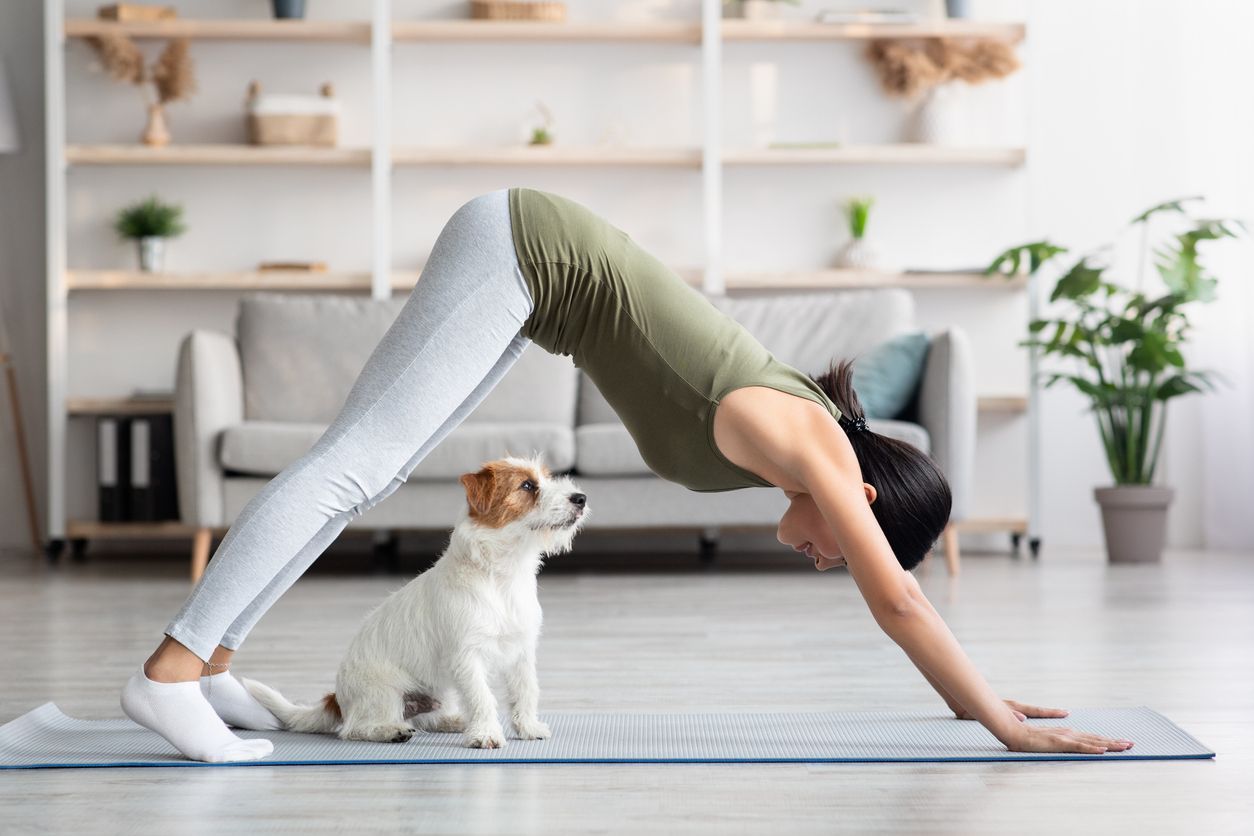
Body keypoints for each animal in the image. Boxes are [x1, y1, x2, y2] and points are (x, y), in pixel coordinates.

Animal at [244, 458, 586, 752]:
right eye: (527, 486)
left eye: (547, 478)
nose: (580, 498)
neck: (501, 575)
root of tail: (337, 699)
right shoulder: (467, 656)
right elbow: (482, 697)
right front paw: (486, 734)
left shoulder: (521, 652)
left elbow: (525, 691)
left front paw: (528, 728)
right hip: (385, 692)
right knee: (355, 728)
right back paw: (392, 731)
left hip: (441, 692)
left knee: (429, 718)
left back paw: (454, 721)